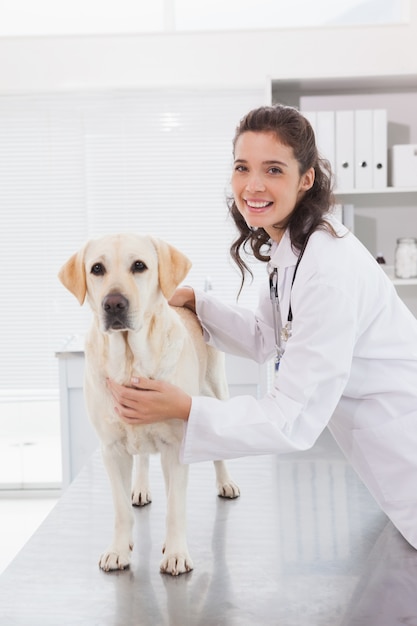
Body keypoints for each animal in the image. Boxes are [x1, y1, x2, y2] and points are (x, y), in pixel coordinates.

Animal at [59, 232, 239, 572]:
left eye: (139, 266)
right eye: (97, 268)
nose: (113, 303)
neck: (131, 361)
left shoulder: (177, 445)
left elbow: (175, 508)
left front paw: (176, 553)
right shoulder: (112, 450)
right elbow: (120, 510)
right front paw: (118, 549)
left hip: (215, 392)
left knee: (216, 453)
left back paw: (226, 483)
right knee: (142, 459)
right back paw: (140, 488)